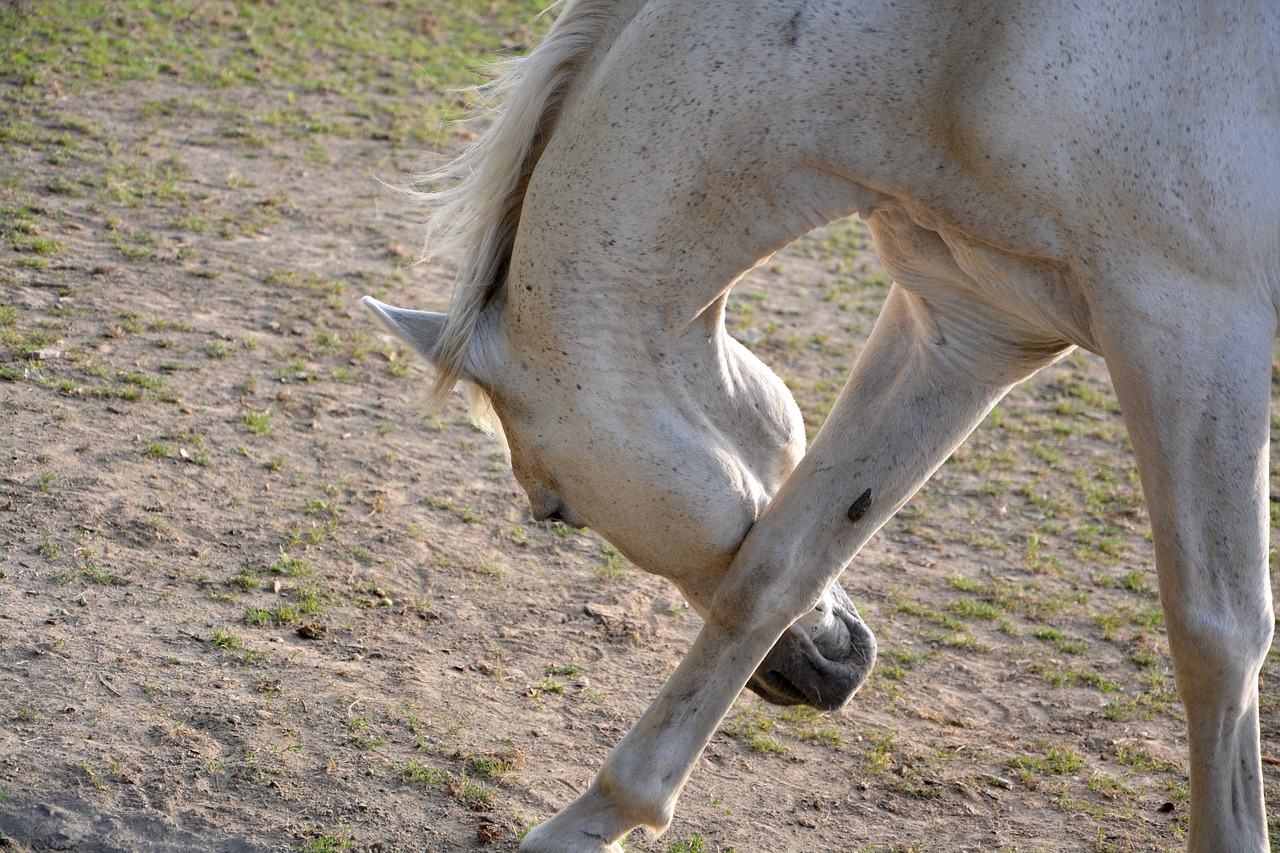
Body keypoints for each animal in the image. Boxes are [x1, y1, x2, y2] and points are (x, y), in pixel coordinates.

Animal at [363, 1, 1280, 845]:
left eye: (555, 510)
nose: (830, 674)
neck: (965, 47)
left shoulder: (1192, 325)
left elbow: (1217, 637)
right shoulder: (970, 322)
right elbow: (779, 565)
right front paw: (596, 818)